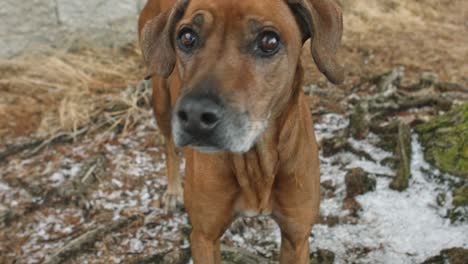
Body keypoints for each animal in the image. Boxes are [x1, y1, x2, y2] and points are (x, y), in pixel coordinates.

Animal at [137, 0, 342, 262]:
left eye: (269, 41)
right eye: (186, 37)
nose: (194, 115)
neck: (254, 161)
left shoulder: (296, 238)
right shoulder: (203, 237)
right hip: (161, 101)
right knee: (169, 145)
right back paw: (173, 191)